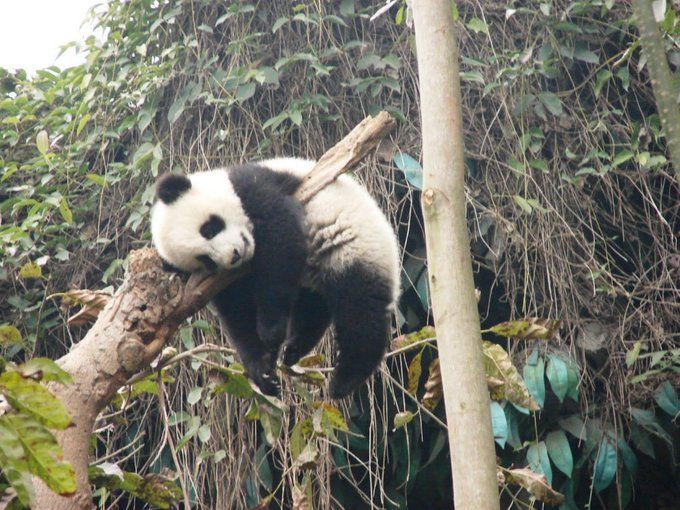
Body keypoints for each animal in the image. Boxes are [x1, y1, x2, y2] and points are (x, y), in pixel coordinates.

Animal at [151, 156, 402, 398]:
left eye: (210, 229)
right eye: (205, 259)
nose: (234, 255)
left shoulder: (255, 187)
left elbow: (280, 240)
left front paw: (270, 333)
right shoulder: (222, 281)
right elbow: (238, 312)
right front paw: (263, 371)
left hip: (357, 247)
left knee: (360, 309)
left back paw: (345, 380)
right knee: (314, 306)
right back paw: (295, 348)